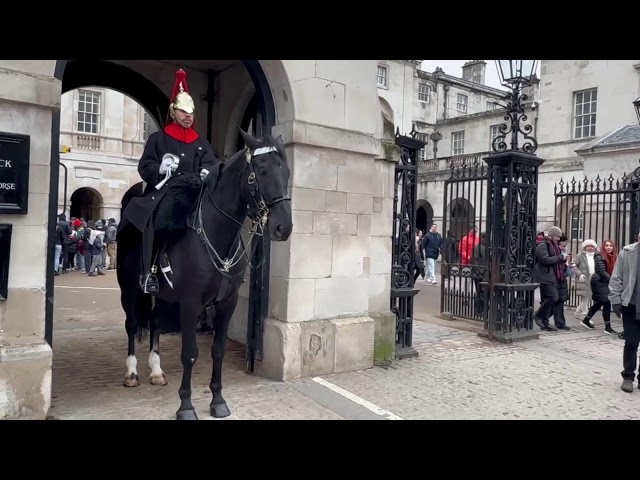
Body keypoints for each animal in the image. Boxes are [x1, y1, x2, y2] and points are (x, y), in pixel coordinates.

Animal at [117, 127, 292, 420]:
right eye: (263, 170)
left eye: (287, 171)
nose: (284, 227)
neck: (216, 234)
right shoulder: (190, 303)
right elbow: (189, 353)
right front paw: (186, 406)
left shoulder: (226, 303)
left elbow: (218, 351)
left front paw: (218, 400)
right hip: (129, 289)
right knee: (132, 325)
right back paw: (131, 373)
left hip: (163, 297)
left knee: (154, 323)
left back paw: (156, 370)